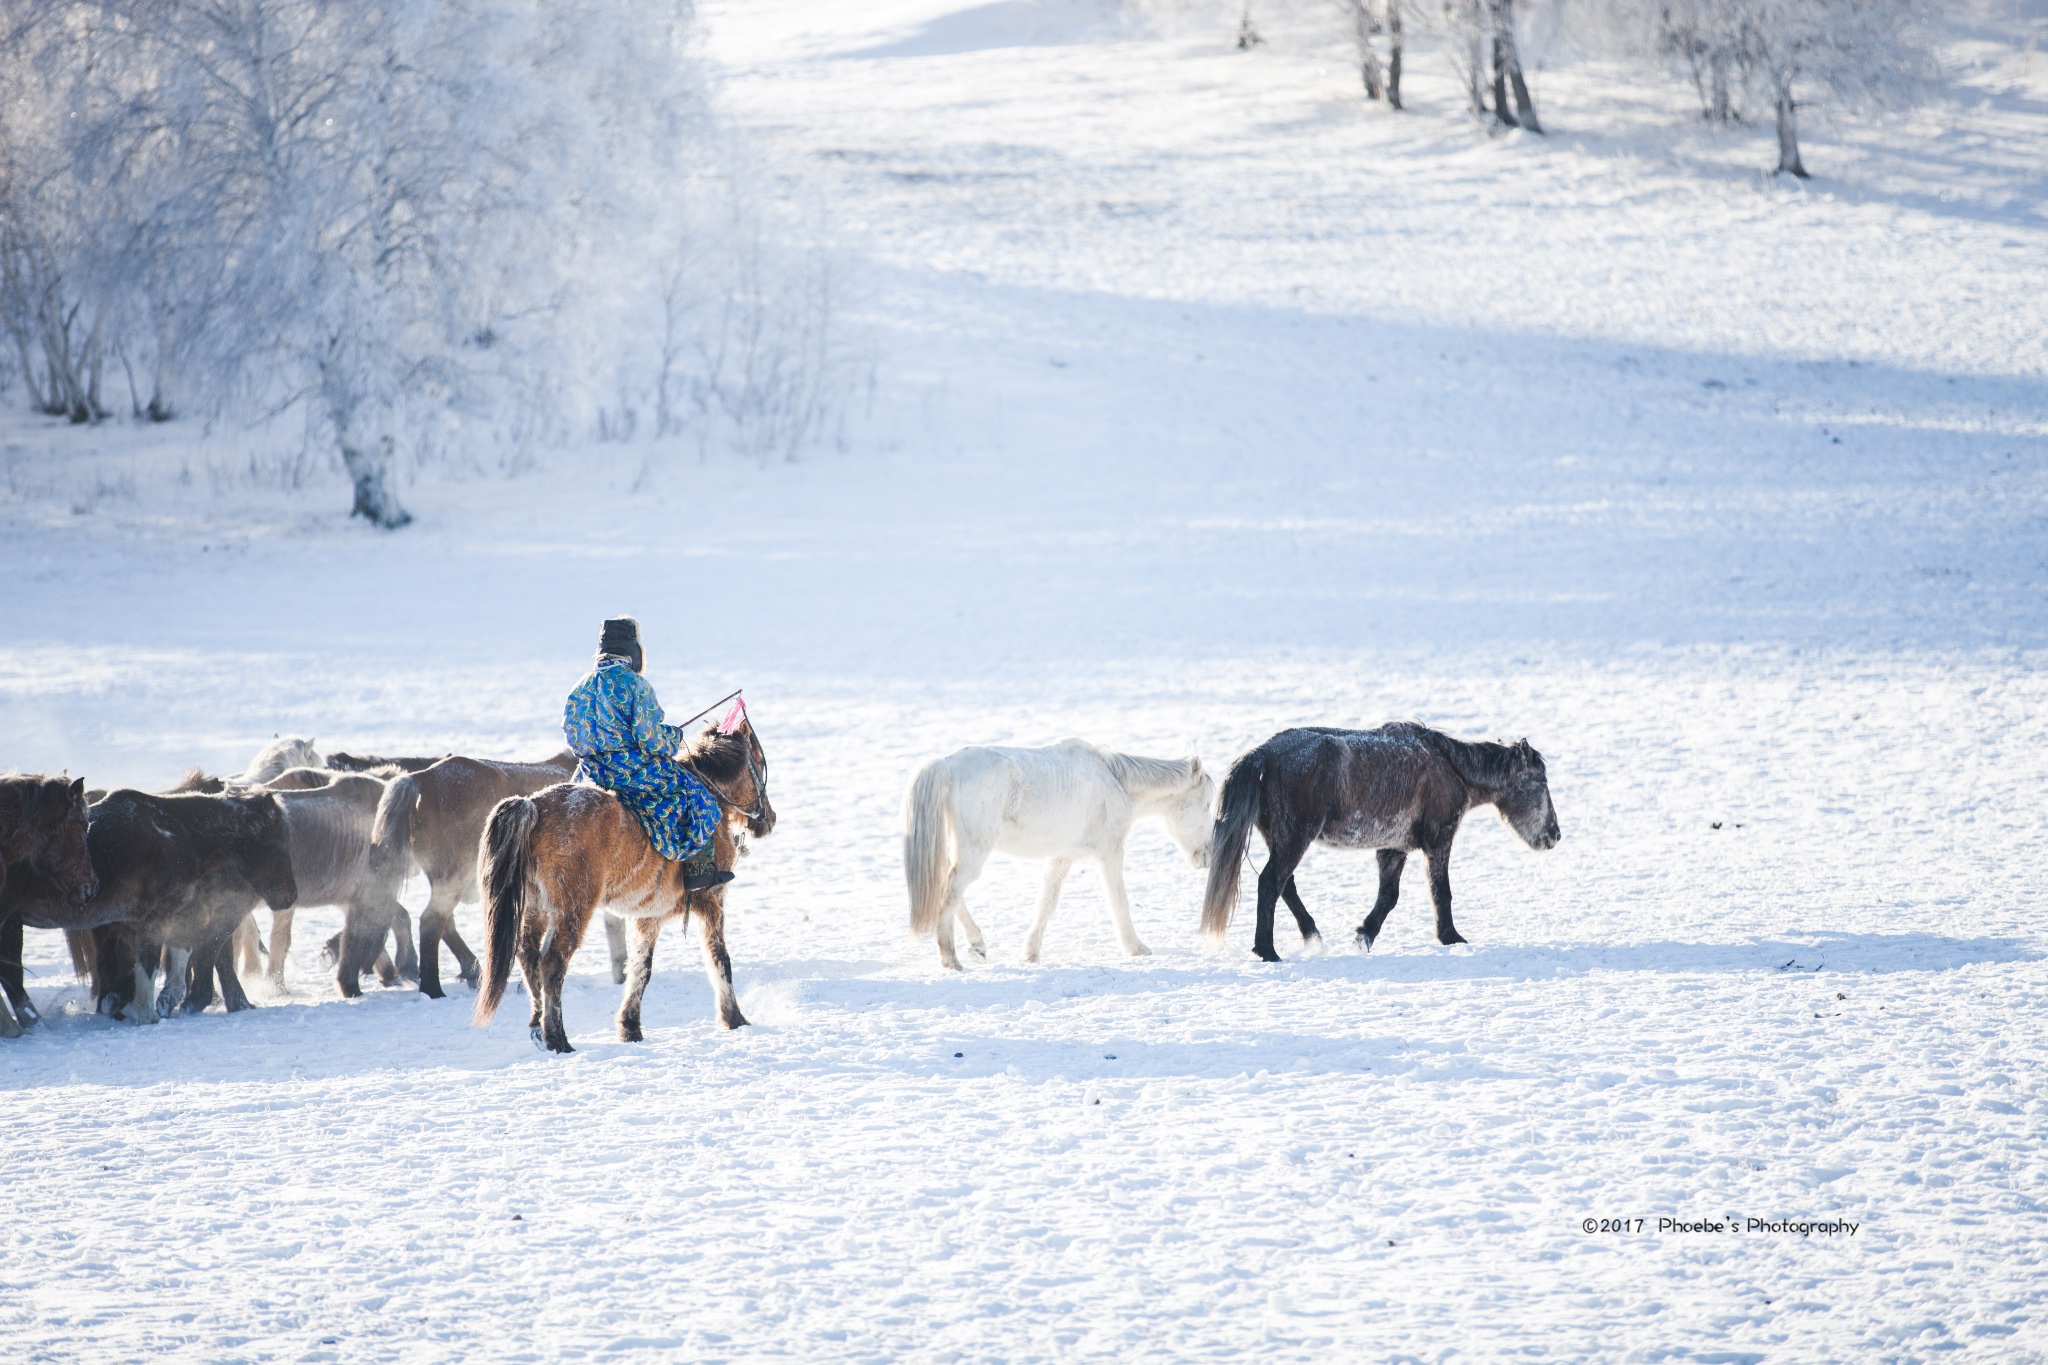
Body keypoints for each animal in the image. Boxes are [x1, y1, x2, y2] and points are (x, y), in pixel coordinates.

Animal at [471, 724, 774, 1055]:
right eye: (759, 761)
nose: (769, 819)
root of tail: (534, 805)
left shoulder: (649, 916)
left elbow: (640, 967)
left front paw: (629, 1026)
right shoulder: (712, 901)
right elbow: (719, 958)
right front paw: (734, 1018)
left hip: (535, 905)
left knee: (528, 956)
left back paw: (537, 1027)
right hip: (573, 907)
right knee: (552, 961)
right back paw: (557, 1037)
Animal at [901, 736, 1212, 970]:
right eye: (1208, 803)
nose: (1208, 855)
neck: (1115, 781)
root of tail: (946, 765)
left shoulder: (1063, 857)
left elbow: (1047, 903)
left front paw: (1031, 953)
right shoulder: (1110, 854)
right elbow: (1119, 903)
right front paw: (1136, 948)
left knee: (948, 888)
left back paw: (977, 946)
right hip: (975, 850)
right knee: (951, 891)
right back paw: (950, 958)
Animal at [1196, 724, 1548, 961]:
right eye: (1541, 781)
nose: (1553, 834)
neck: (1450, 766)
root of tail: (1265, 753)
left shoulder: (1394, 848)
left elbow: (1388, 897)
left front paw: (1364, 936)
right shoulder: (1438, 841)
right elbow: (1440, 892)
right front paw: (1451, 937)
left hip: (1282, 839)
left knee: (1286, 886)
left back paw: (1312, 936)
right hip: (1295, 838)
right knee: (1271, 883)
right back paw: (1267, 951)